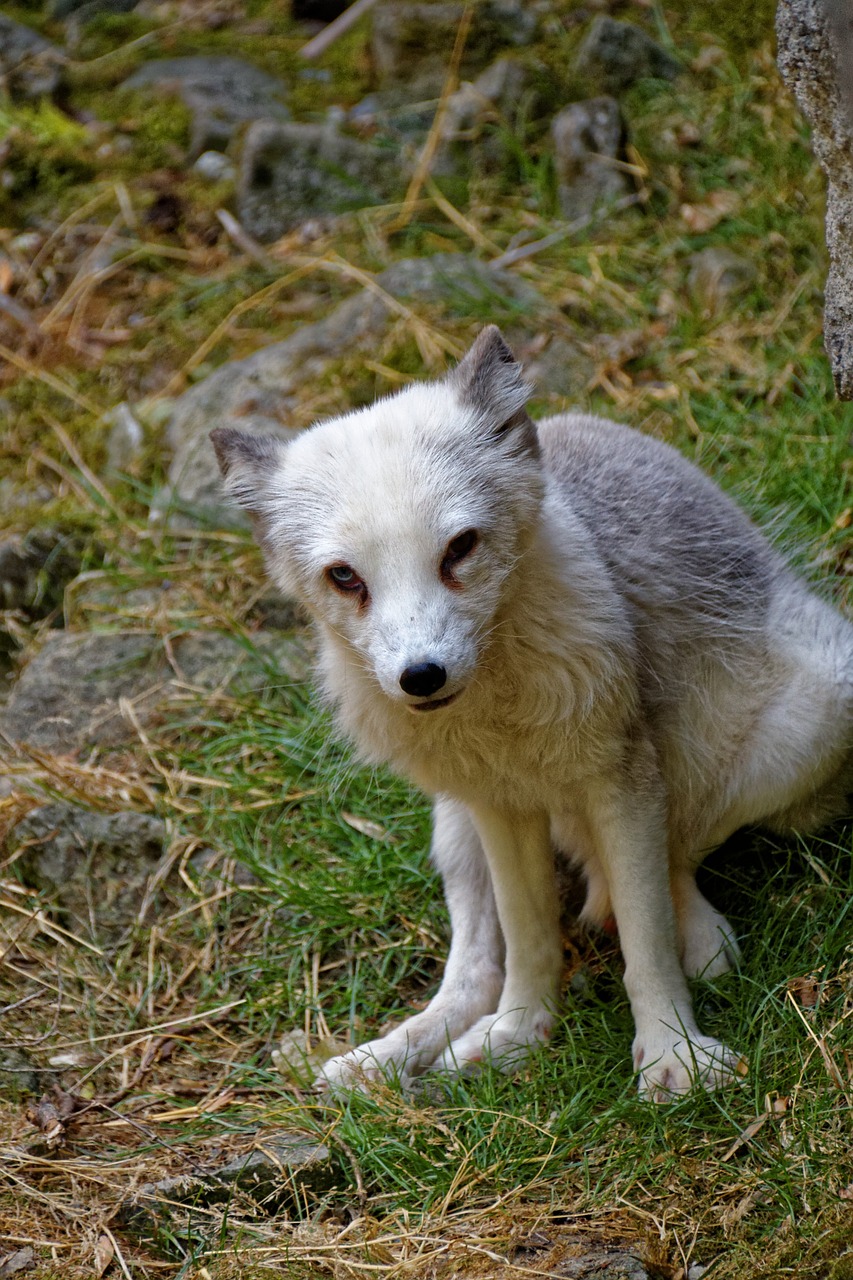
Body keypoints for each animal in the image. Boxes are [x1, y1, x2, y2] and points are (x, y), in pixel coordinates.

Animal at [211, 325, 850, 1095]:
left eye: (459, 548)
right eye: (344, 577)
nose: (420, 677)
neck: (500, 714)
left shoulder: (622, 780)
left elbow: (646, 938)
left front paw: (673, 1055)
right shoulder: (498, 804)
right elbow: (529, 939)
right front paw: (520, 1032)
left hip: (804, 726)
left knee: (663, 865)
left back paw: (701, 941)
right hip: (452, 823)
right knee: (472, 974)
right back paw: (387, 1060)